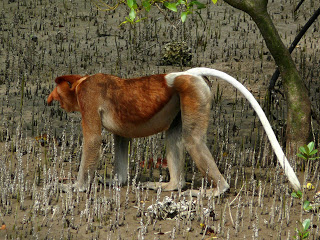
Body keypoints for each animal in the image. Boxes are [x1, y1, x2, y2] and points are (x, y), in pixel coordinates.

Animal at [47, 67, 300, 195]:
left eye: (57, 89)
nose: (50, 99)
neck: (81, 82)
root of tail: (179, 75)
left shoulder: (88, 97)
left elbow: (92, 141)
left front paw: (74, 187)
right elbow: (121, 137)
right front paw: (116, 180)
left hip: (194, 92)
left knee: (192, 140)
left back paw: (217, 190)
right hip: (182, 97)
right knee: (173, 136)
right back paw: (172, 185)